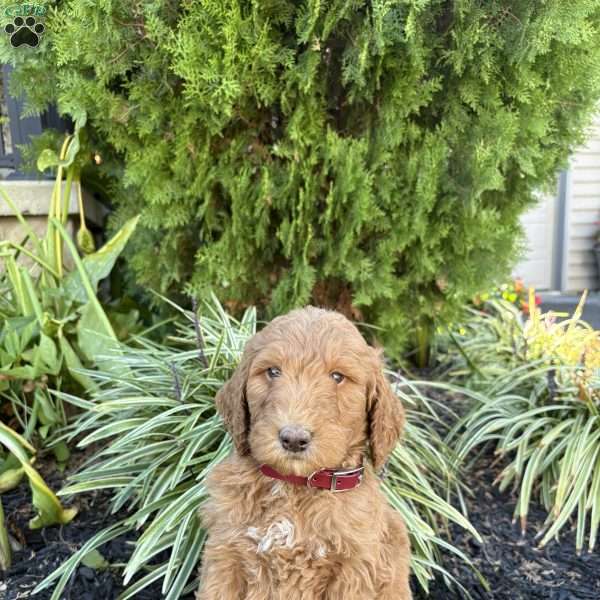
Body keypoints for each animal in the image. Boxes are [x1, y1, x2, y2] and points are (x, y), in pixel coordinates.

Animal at [197, 308, 412, 596]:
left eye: (337, 377)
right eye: (273, 371)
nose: (294, 439)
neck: (294, 486)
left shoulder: (353, 570)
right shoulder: (226, 553)